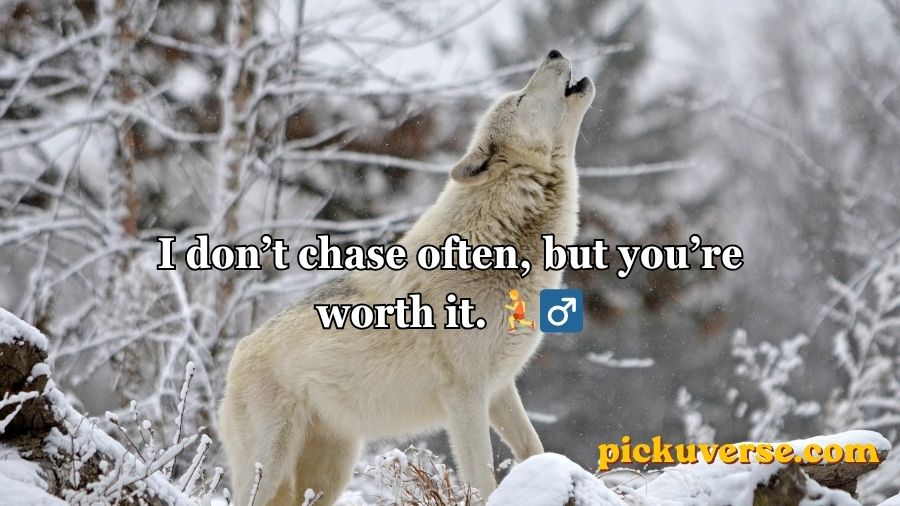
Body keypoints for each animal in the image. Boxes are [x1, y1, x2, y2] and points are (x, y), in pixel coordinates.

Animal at [219, 50, 594, 505]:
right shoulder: (465, 395)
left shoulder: (501, 387)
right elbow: (482, 477)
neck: (498, 236)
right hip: (270, 469)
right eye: (521, 98)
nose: (554, 52)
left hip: (328, 476)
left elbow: (534, 448)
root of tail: (238, 354)